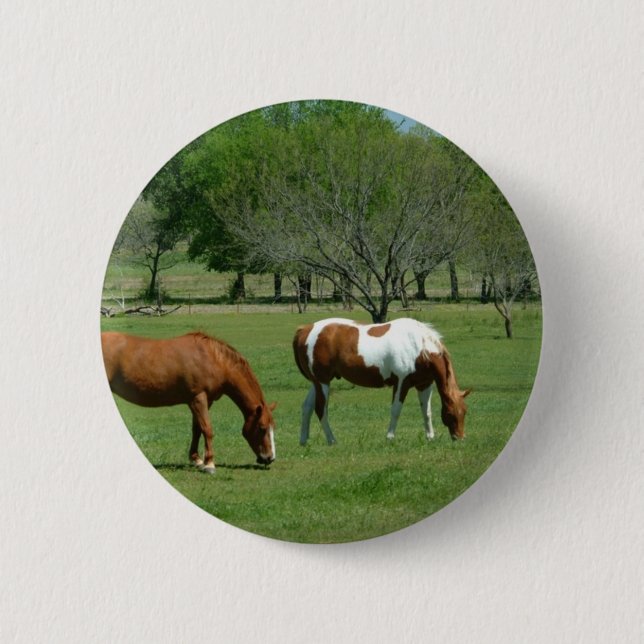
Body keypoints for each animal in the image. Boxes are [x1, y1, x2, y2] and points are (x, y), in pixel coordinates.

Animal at [101, 331, 276, 472]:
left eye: (273, 427)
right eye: (262, 428)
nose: (270, 458)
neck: (212, 359)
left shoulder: (202, 401)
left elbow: (197, 429)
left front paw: (197, 460)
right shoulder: (198, 398)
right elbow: (207, 429)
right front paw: (209, 464)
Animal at [292, 317, 470, 445]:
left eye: (464, 411)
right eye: (450, 413)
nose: (460, 438)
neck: (419, 347)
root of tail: (305, 330)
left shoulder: (424, 385)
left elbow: (426, 412)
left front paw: (430, 437)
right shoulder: (401, 383)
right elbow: (396, 410)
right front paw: (390, 437)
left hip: (317, 383)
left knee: (307, 407)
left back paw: (303, 440)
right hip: (322, 383)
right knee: (321, 409)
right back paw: (331, 440)